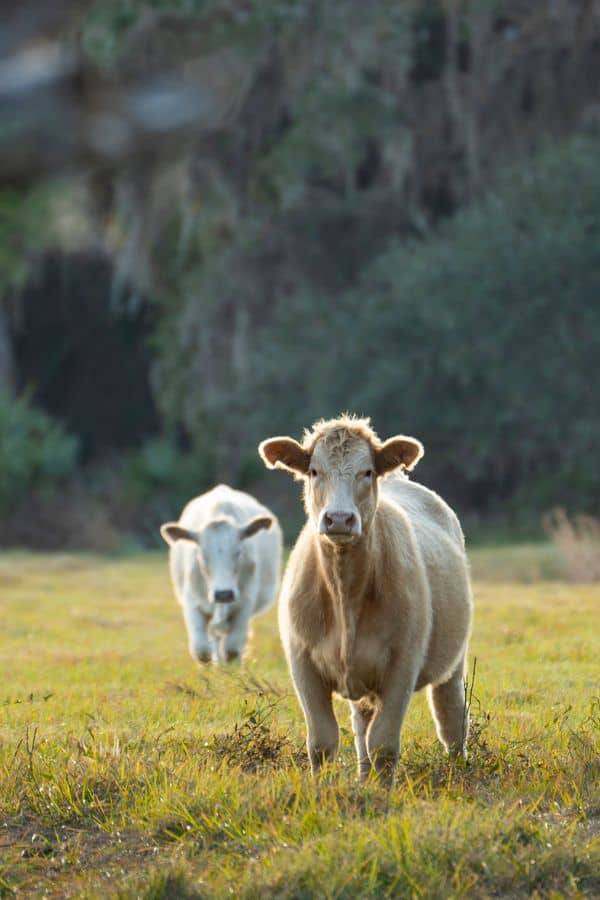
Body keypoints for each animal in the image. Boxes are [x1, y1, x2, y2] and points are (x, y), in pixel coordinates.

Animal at [160, 484, 282, 664]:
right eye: (202, 555)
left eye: (238, 552)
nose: (223, 594)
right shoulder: (192, 602)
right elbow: (201, 650)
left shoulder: (245, 604)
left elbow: (232, 649)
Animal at [258, 415, 473, 782]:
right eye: (314, 470)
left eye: (367, 471)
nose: (339, 518)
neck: (345, 594)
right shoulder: (303, 662)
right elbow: (323, 741)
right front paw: (326, 788)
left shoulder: (403, 663)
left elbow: (383, 744)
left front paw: (382, 790)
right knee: (361, 727)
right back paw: (362, 777)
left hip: (453, 660)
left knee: (451, 715)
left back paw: (457, 769)